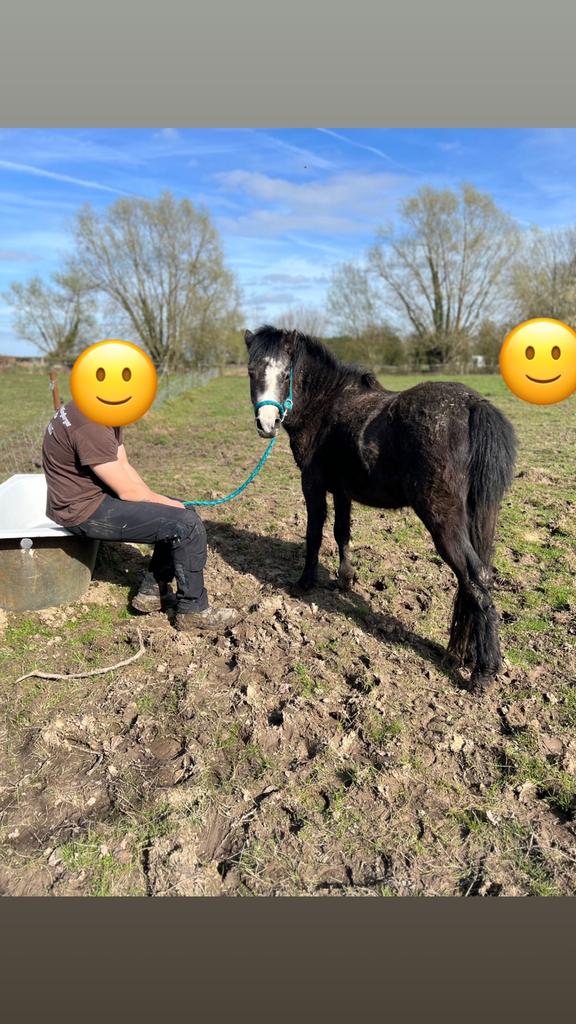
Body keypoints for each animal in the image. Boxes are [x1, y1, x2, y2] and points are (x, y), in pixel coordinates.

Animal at [245, 324, 517, 694]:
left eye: (286, 374)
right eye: (251, 372)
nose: (267, 423)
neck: (326, 404)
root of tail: (472, 405)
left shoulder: (313, 484)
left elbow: (314, 533)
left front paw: (304, 582)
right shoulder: (342, 489)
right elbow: (341, 532)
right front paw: (346, 579)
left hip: (443, 519)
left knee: (474, 577)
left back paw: (484, 671)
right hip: (479, 517)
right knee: (474, 580)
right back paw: (458, 655)